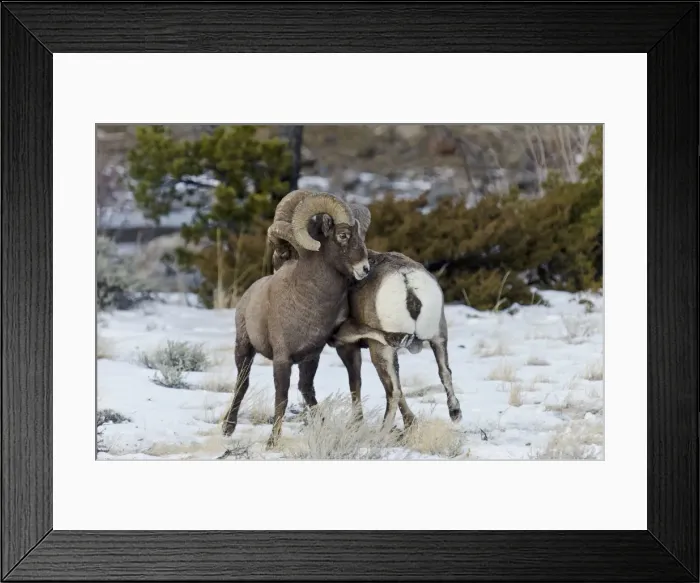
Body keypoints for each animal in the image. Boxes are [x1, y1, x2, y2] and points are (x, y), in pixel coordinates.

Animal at [221, 191, 371, 448]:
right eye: (343, 235)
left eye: (361, 236)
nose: (365, 269)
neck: (308, 301)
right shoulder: (282, 360)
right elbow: (281, 398)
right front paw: (272, 442)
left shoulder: (311, 356)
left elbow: (312, 389)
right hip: (244, 349)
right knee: (242, 384)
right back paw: (228, 429)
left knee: (305, 389)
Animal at [268, 192, 462, 433]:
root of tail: (406, 281)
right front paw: (411, 423)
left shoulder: (347, 345)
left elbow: (355, 383)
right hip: (438, 337)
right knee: (444, 372)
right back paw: (455, 413)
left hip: (381, 349)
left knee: (393, 391)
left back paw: (382, 432)